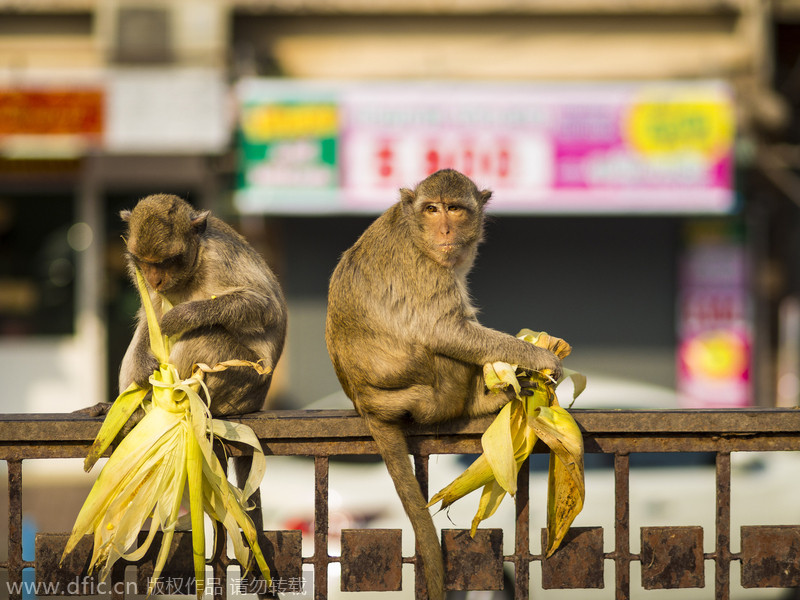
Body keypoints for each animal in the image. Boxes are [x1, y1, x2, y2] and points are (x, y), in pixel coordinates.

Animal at [325, 169, 562, 600]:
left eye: (455, 208)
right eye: (432, 209)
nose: (446, 228)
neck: (416, 231)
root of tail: (366, 404)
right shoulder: (427, 270)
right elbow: (447, 331)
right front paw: (539, 358)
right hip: (426, 398)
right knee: (440, 347)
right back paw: (481, 404)